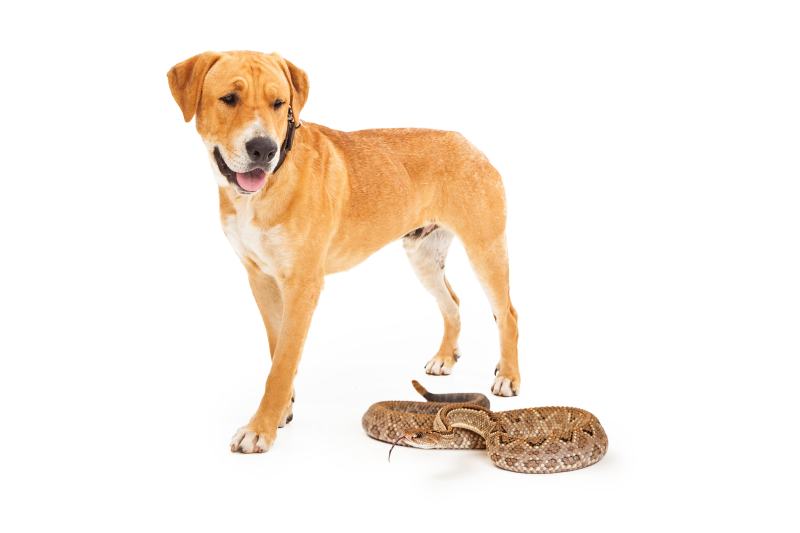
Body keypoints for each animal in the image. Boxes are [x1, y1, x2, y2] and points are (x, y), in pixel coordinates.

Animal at [167, 50, 520, 450]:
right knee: (452, 303)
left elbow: (282, 362)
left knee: (507, 313)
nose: (263, 149)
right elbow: (277, 351)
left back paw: (509, 377)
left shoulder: (303, 286)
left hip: (485, 248)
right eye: (229, 98)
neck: (267, 188)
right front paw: (283, 409)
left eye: (279, 103)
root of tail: (468, 142)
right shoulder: (261, 280)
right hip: (424, 255)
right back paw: (445, 357)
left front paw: (261, 428)